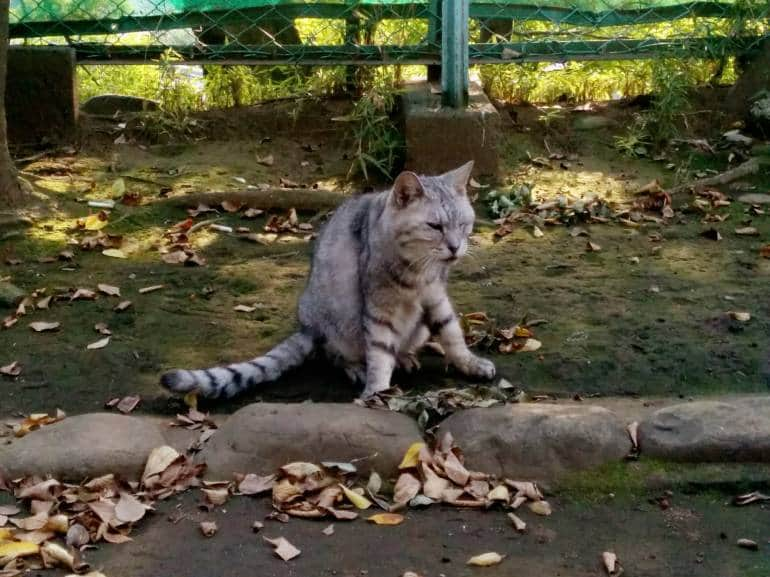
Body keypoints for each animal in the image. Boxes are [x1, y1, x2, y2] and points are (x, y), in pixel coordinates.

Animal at [163, 160, 498, 398]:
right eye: (434, 226)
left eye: (464, 224)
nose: (456, 247)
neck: (419, 269)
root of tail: (306, 325)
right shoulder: (379, 306)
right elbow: (379, 352)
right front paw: (377, 391)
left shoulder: (435, 296)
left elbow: (452, 333)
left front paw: (470, 363)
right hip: (337, 323)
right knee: (335, 354)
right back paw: (357, 367)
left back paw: (404, 357)